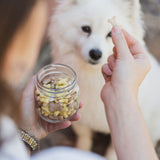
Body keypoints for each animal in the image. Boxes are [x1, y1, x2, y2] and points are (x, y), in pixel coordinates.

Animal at [48, 0, 160, 158]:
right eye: (86, 29)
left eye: (110, 34)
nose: (95, 53)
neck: (92, 77)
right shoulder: (81, 119)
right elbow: (84, 137)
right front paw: (81, 151)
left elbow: (113, 149)